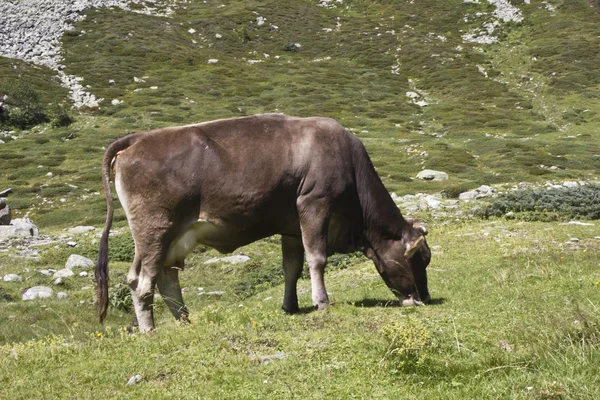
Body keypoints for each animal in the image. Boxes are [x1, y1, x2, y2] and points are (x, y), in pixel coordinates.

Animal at [96, 114, 428, 332]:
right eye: (418, 259)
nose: (423, 298)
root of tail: (137, 139)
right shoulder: (314, 204)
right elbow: (317, 258)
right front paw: (321, 302)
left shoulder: (292, 225)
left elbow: (292, 267)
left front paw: (290, 306)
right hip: (154, 230)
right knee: (141, 281)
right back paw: (149, 330)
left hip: (177, 236)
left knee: (166, 277)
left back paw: (185, 321)